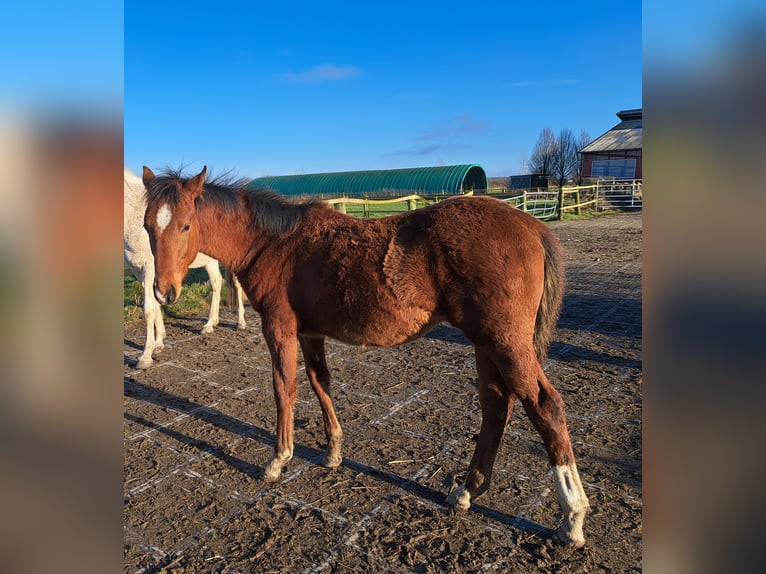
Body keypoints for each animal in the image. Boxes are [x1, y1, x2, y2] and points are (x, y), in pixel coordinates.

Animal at [124, 169, 246, 372]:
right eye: (146, 226)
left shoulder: (149, 270)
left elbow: (148, 309)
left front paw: (145, 356)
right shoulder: (142, 272)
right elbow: (156, 304)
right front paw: (159, 342)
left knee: (236, 285)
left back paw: (241, 322)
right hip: (211, 261)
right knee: (216, 283)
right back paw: (210, 324)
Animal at [141, 166, 592, 548]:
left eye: (185, 225)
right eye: (147, 225)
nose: (164, 292)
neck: (275, 243)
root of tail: (531, 226)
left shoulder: (280, 330)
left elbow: (284, 390)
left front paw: (278, 460)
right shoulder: (310, 333)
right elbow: (320, 382)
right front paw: (333, 453)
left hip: (505, 342)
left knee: (544, 406)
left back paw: (572, 517)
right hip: (486, 343)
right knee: (496, 407)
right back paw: (466, 492)